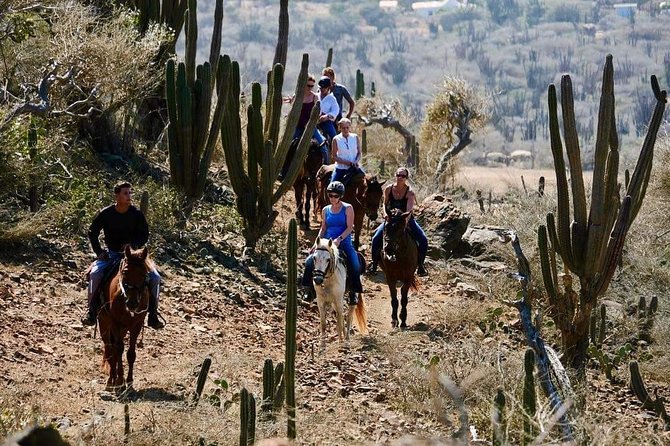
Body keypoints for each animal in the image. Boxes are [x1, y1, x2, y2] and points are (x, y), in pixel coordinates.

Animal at [98, 246, 151, 392]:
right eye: (125, 272)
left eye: (144, 274)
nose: (132, 303)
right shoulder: (115, 322)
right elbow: (119, 349)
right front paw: (120, 382)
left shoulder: (136, 324)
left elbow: (131, 353)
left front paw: (130, 382)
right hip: (104, 324)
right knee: (110, 349)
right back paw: (111, 381)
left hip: (123, 329)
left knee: (114, 351)